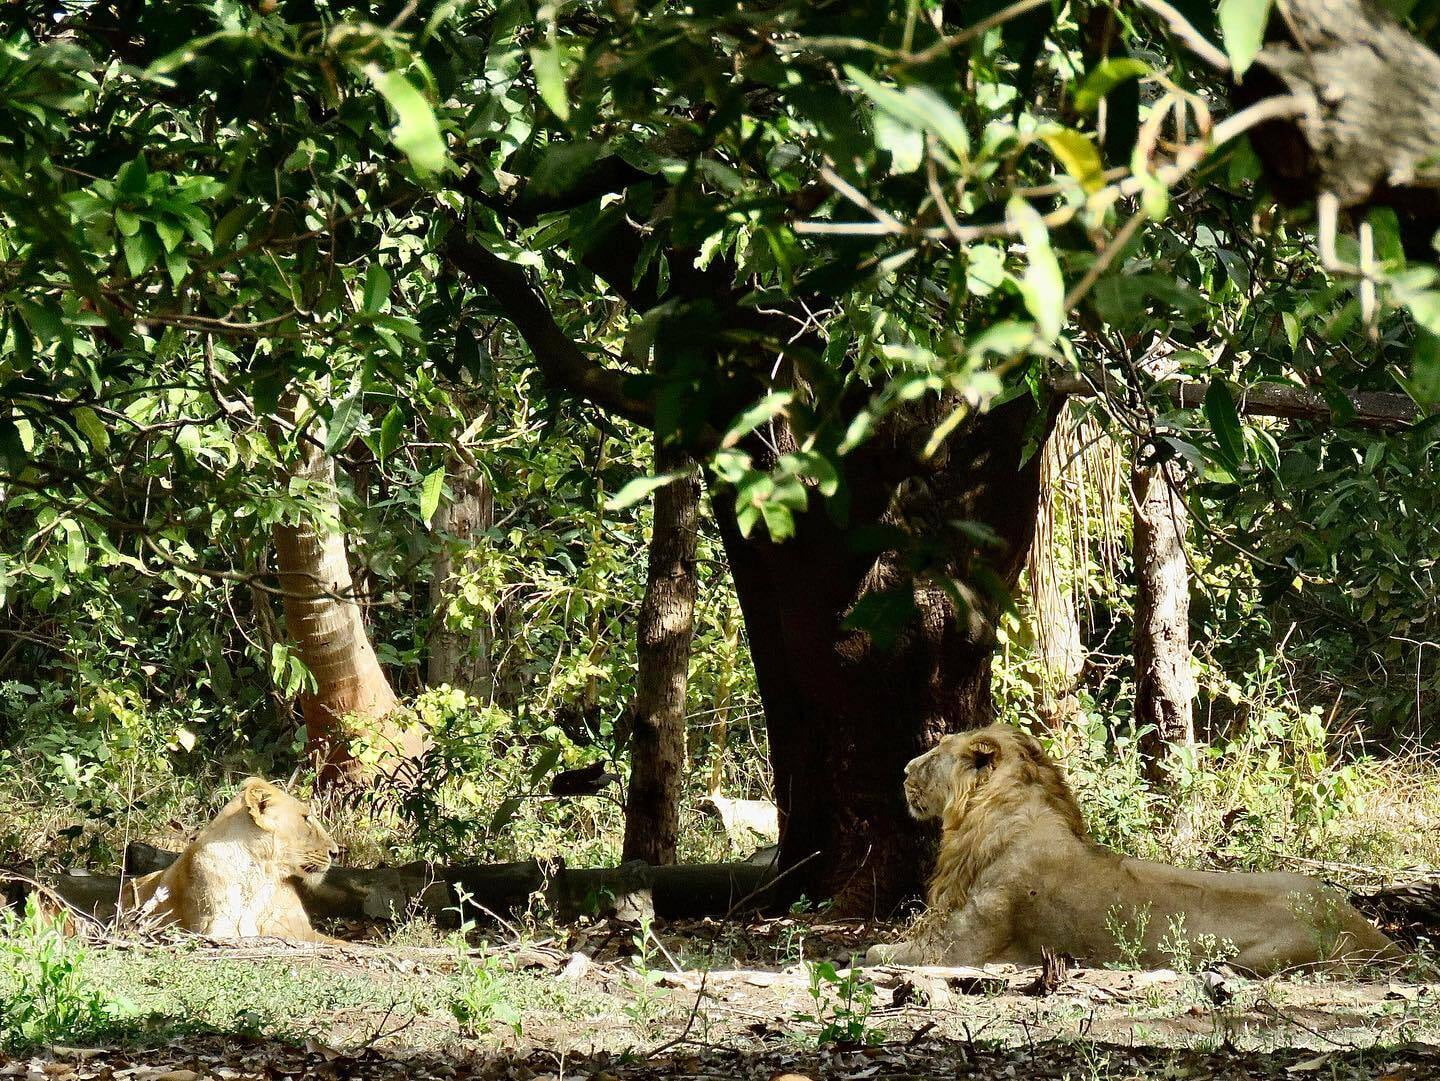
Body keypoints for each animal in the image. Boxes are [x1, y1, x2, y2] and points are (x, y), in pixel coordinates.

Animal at [866, 724, 1401, 975]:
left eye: (935, 752)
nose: (904, 769)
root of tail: (1364, 928)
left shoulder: (964, 947)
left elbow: (875, 952)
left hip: (1256, 958)